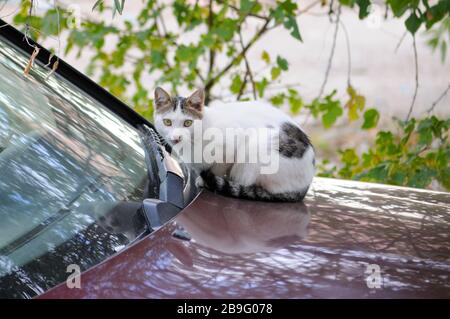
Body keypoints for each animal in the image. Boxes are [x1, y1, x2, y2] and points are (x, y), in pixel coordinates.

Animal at [153, 87, 314, 202]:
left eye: (188, 123)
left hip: (257, 152)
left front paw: (205, 181)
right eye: (167, 122)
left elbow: (218, 168)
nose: (176, 137)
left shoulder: (230, 147)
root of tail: (304, 187)